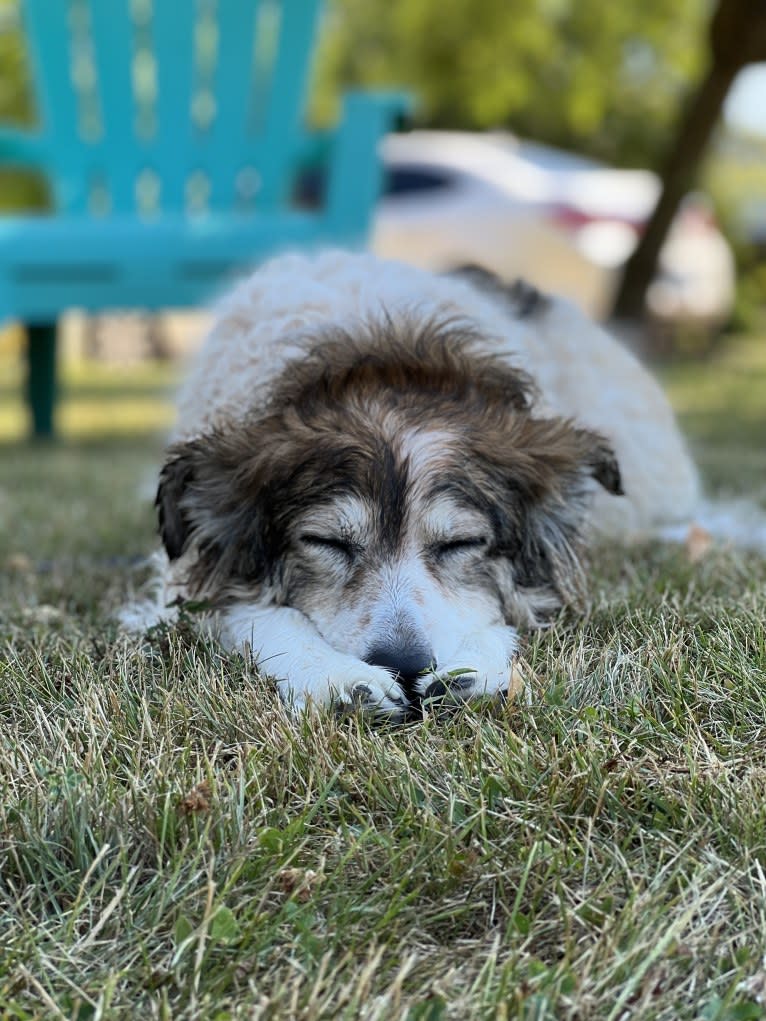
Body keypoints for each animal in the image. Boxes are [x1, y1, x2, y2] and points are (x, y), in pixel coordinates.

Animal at [133, 250, 702, 714]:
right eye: (326, 542)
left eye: (461, 544)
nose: (404, 667)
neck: (382, 352)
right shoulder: (179, 586)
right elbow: (253, 613)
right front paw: (335, 677)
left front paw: (475, 668)